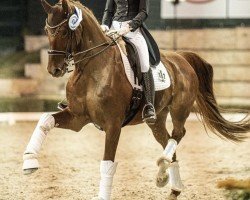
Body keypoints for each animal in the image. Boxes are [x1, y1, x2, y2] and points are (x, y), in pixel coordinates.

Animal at [22, 0, 249, 199]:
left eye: (63, 31)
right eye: (46, 30)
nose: (54, 70)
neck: (92, 69)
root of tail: (181, 57)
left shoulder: (113, 124)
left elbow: (107, 163)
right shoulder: (78, 117)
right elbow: (45, 119)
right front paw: (29, 162)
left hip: (180, 109)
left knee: (178, 134)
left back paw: (163, 169)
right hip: (156, 119)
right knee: (168, 140)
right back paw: (171, 184)